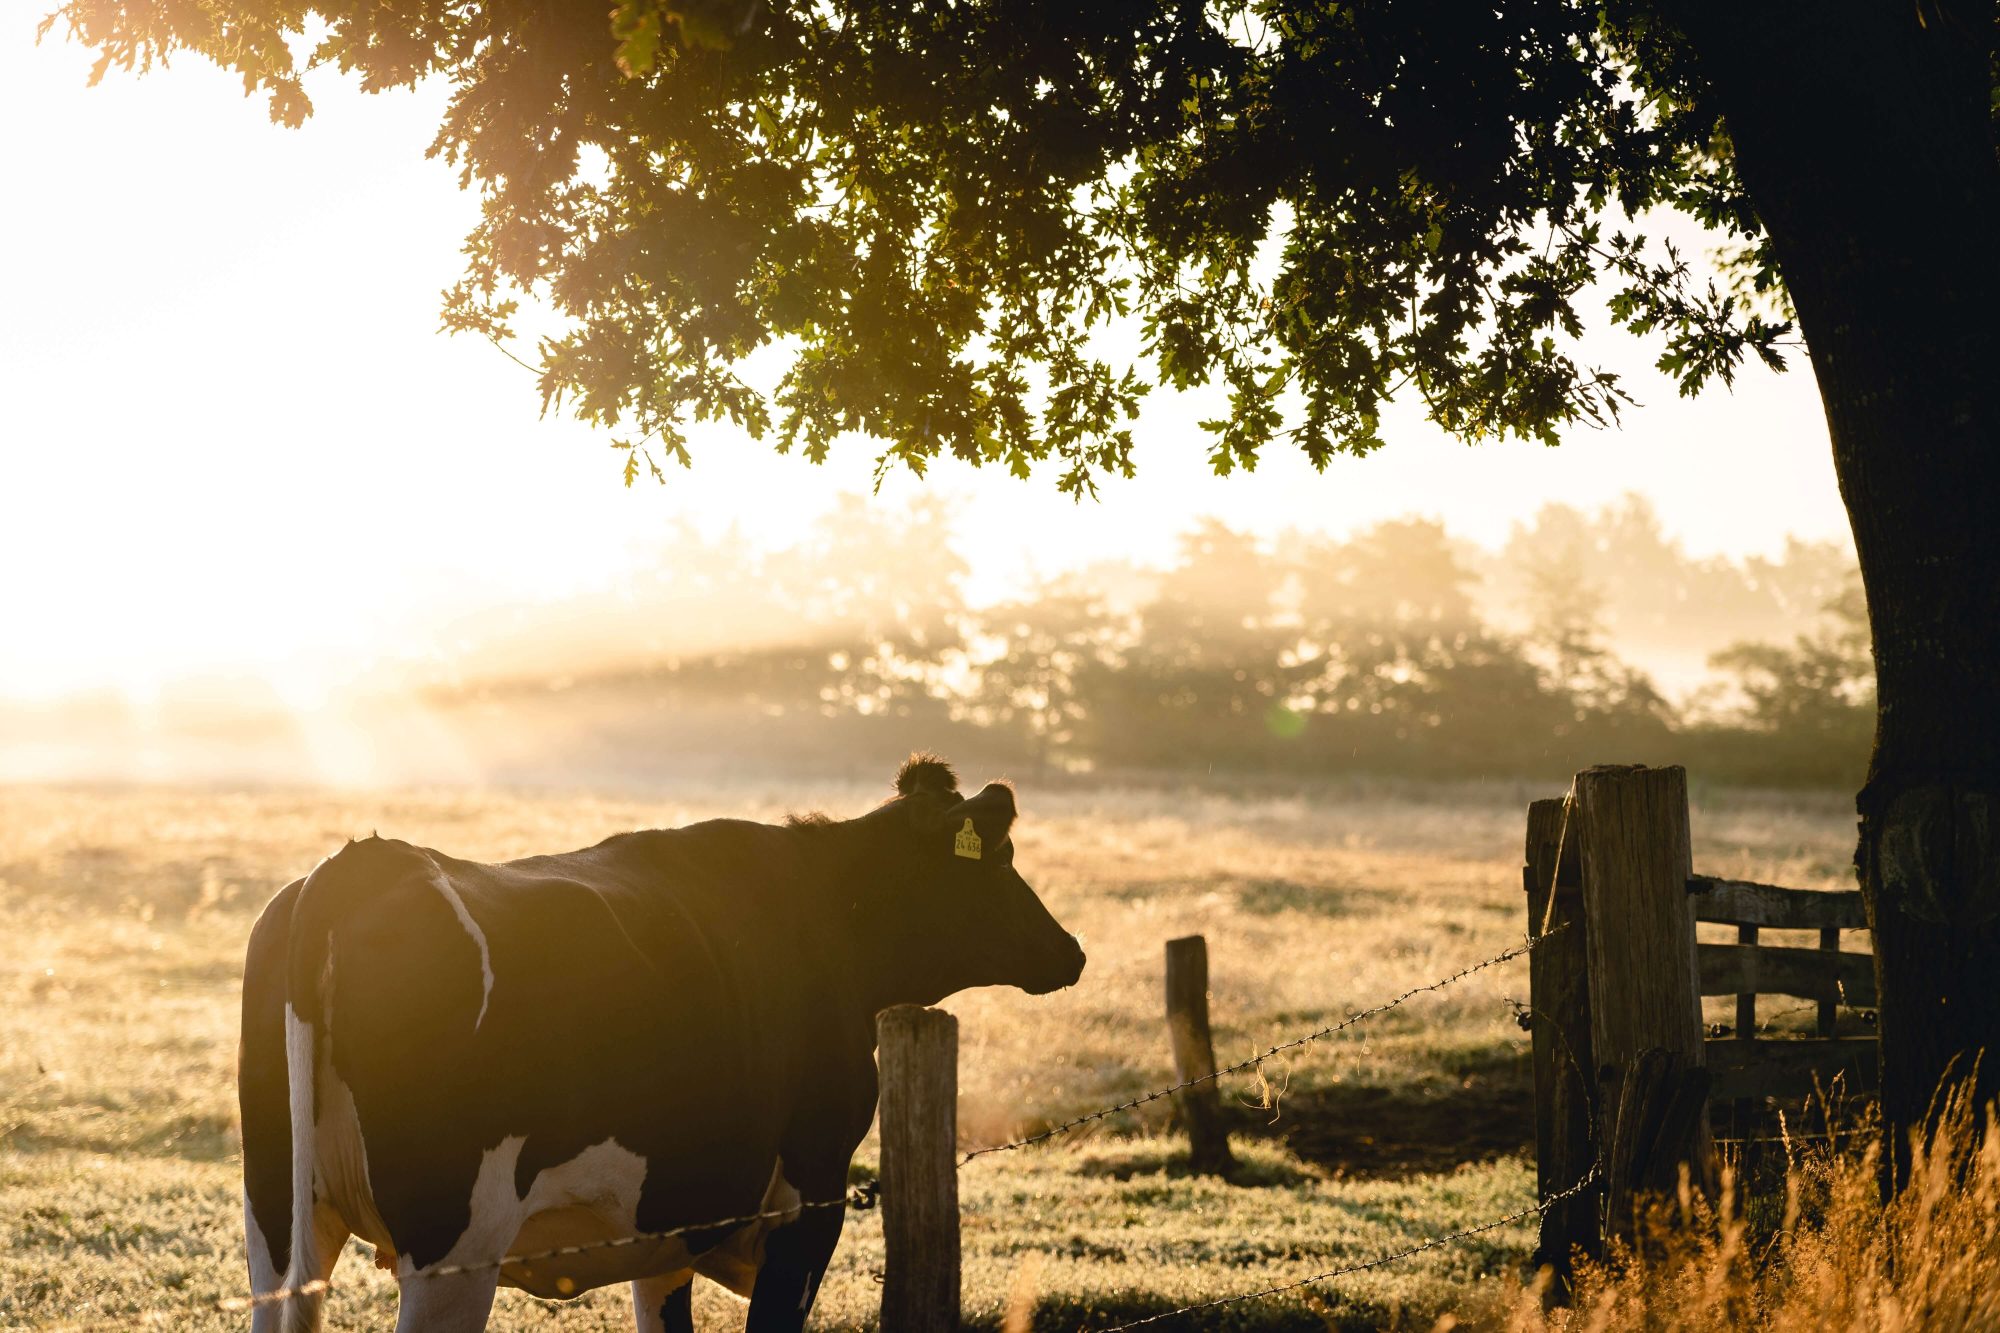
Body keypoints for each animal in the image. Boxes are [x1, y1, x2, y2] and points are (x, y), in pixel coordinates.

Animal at [237, 755, 1084, 1332]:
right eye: (1003, 859)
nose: (1071, 950)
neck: (827, 916)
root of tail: (363, 862)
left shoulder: (671, 1222)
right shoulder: (809, 1199)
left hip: (280, 1223)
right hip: (452, 1248)